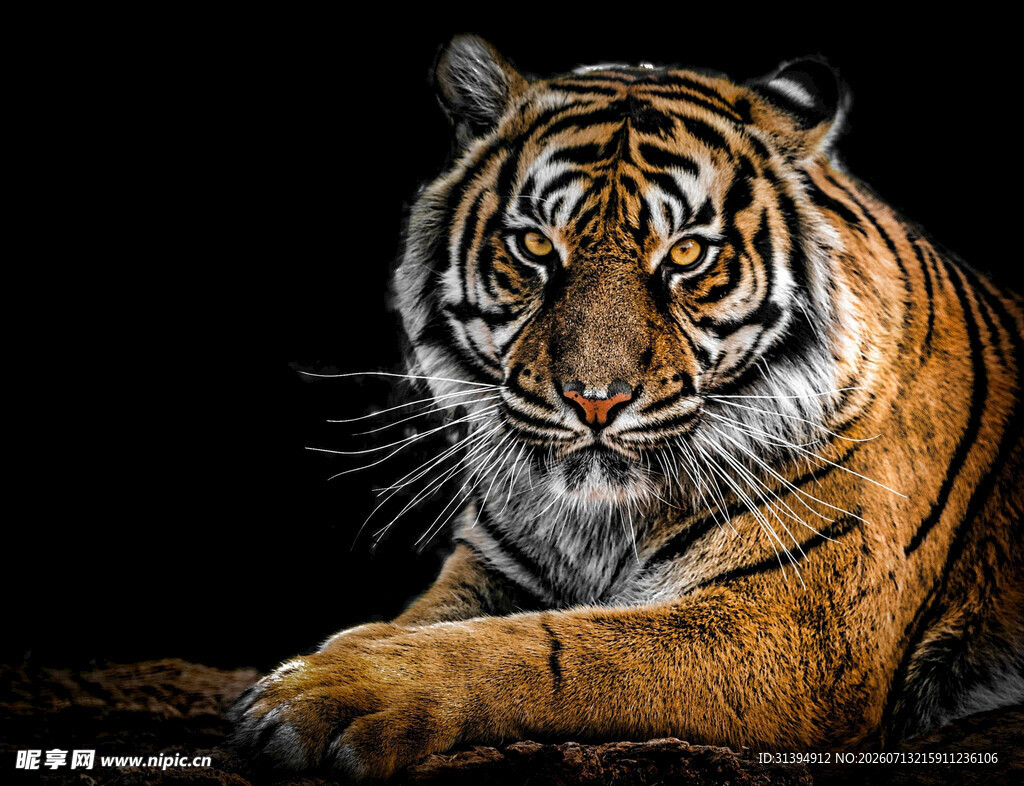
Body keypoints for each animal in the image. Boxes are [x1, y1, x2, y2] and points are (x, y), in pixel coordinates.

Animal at [230, 35, 1024, 780]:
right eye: (533, 245)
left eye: (687, 255)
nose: (595, 400)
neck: (598, 522)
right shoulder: (493, 567)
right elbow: (424, 620)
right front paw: (328, 662)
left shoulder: (796, 631)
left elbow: (555, 649)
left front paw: (331, 693)